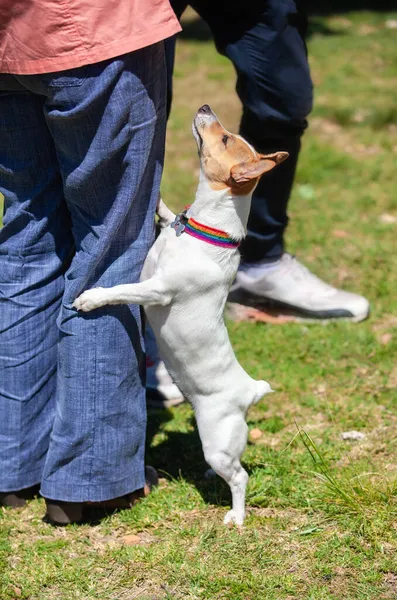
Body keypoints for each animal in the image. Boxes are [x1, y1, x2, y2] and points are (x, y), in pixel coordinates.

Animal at [74, 104, 286, 524]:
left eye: (225, 138)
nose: (204, 107)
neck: (204, 231)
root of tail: (249, 392)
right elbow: (167, 211)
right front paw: (156, 199)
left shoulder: (157, 290)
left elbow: (121, 291)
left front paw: (91, 298)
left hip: (218, 442)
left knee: (240, 477)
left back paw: (236, 516)